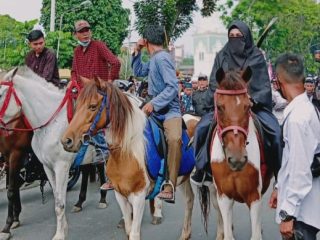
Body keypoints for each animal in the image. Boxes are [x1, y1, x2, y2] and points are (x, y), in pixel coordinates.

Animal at [0, 68, 97, 240]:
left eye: (0, 94)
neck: (51, 123)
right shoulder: (47, 167)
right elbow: (58, 198)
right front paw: (63, 230)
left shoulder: (60, 166)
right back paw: (80, 202)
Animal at [61, 79, 194, 240]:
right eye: (77, 105)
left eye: (92, 106)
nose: (66, 141)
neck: (125, 152)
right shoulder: (120, 195)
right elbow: (128, 229)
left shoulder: (138, 196)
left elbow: (134, 233)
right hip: (184, 179)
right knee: (189, 200)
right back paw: (185, 234)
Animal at [200, 67, 272, 240]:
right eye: (219, 107)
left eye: (248, 106)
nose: (237, 159)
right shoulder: (224, 196)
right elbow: (227, 232)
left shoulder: (254, 195)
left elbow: (255, 233)